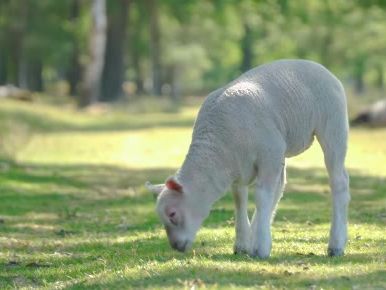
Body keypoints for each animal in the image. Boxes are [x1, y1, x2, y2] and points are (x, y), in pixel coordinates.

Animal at [146, 59, 350, 258]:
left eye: (172, 214)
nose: (176, 246)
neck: (218, 148)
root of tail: (320, 67)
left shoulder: (269, 153)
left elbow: (261, 196)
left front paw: (260, 248)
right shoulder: (240, 165)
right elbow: (240, 199)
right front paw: (243, 244)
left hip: (333, 125)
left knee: (338, 181)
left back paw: (336, 246)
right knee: (279, 188)